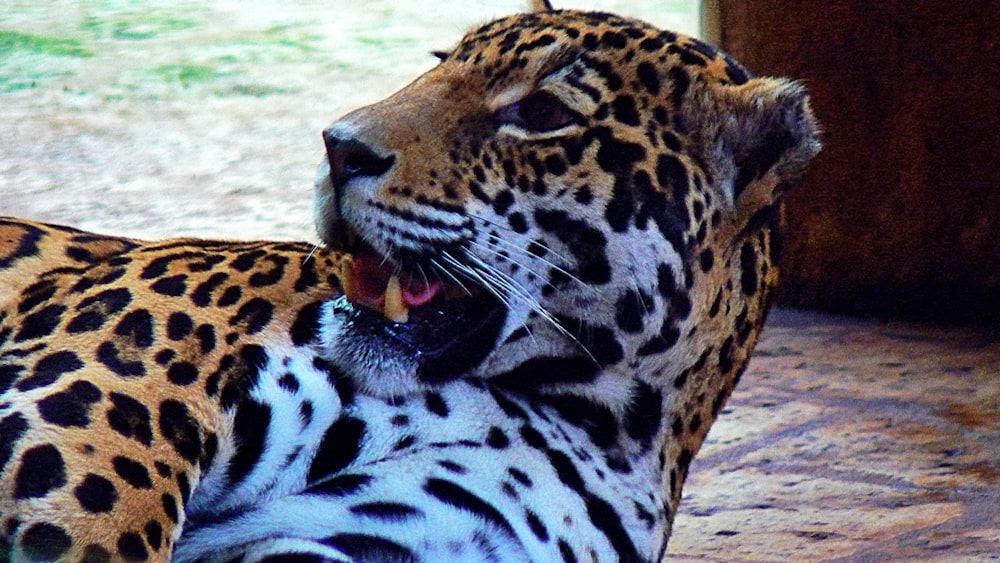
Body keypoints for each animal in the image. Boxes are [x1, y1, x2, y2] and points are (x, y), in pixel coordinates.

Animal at [0, 1, 816, 560]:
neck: (603, 421)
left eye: (541, 111)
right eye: (440, 62)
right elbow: (99, 525)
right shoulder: (114, 382)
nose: (338, 145)